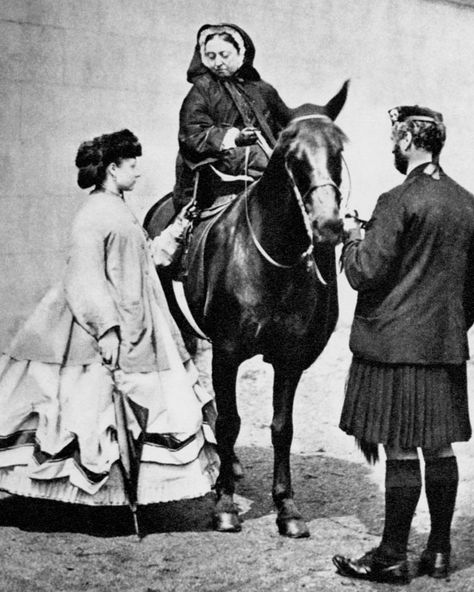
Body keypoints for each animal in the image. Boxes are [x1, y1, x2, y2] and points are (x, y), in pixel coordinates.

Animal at [144, 81, 348, 540]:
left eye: (338, 151)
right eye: (291, 155)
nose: (328, 225)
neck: (274, 259)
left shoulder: (290, 359)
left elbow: (281, 427)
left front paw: (286, 507)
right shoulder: (226, 352)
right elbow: (230, 421)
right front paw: (224, 504)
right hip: (176, 325)